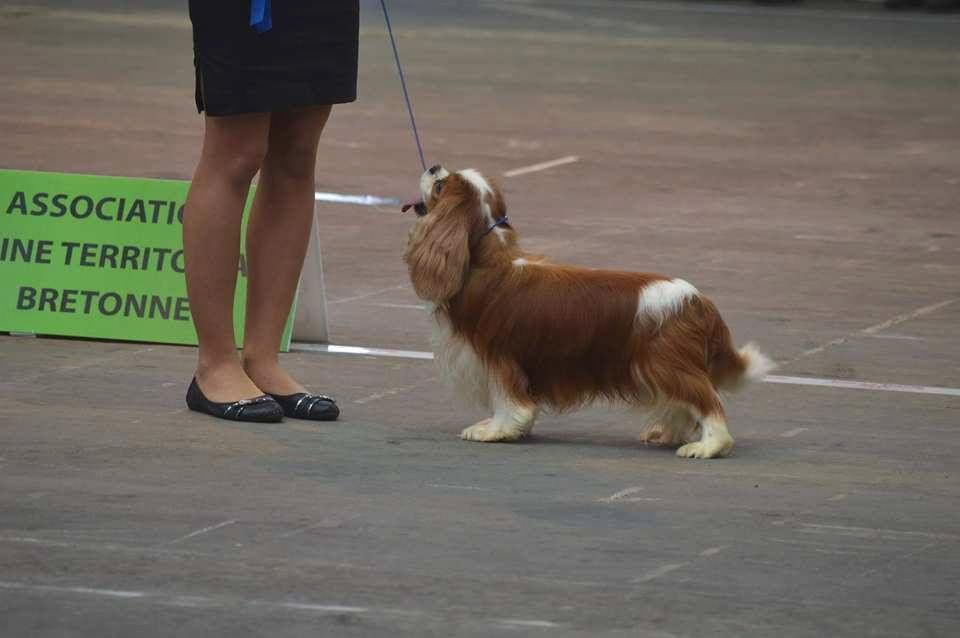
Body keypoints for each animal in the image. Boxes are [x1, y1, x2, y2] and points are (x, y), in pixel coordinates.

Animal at [402, 165, 774, 459]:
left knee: (707, 401)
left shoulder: (499, 357)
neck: (484, 260)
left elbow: (509, 402)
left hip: (667, 364)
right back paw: (667, 433)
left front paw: (495, 430)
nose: (433, 166)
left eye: (440, 185)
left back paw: (707, 446)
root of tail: (699, 301)